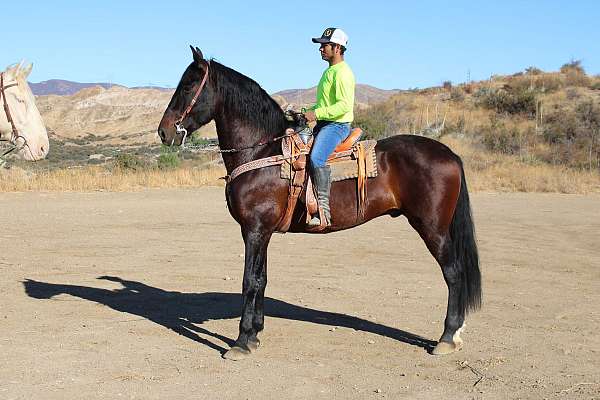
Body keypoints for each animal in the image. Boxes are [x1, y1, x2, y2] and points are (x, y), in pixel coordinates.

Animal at [157, 46, 480, 360]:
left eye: (188, 85)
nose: (164, 131)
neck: (262, 151)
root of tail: (449, 154)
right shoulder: (264, 233)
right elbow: (262, 279)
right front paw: (255, 334)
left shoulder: (253, 230)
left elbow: (249, 280)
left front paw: (241, 341)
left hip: (433, 228)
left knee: (453, 273)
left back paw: (448, 337)